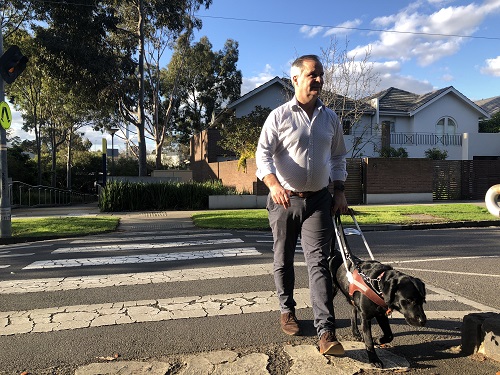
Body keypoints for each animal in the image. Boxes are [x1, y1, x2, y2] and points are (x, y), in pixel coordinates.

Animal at [330, 213, 428, 368]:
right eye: (408, 300)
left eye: (423, 301)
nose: (423, 321)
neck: (376, 283)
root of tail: (335, 252)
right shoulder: (366, 317)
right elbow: (368, 340)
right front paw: (374, 359)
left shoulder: (381, 314)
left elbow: (389, 335)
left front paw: (378, 340)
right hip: (332, 288)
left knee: (353, 311)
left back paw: (355, 332)